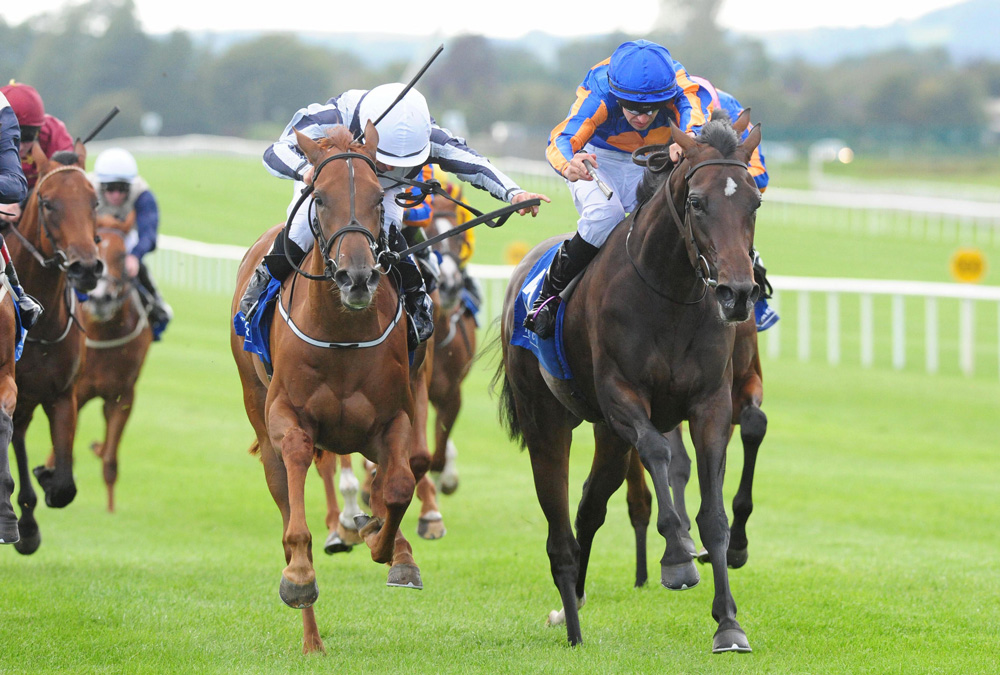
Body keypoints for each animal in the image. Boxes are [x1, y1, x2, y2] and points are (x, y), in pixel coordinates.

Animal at [231, 125, 430, 656]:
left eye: (380, 199)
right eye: (319, 198)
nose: (356, 276)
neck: (342, 332)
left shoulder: (392, 419)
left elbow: (399, 486)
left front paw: (392, 550)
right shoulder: (288, 416)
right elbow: (298, 493)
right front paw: (300, 576)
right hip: (260, 417)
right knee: (286, 501)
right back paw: (311, 637)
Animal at [496, 112, 760, 656]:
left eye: (755, 201)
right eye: (697, 202)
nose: (738, 293)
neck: (670, 293)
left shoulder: (711, 405)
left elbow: (714, 515)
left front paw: (728, 623)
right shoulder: (622, 397)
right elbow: (658, 452)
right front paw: (676, 556)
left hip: (610, 438)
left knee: (589, 506)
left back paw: (572, 602)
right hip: (547, 422)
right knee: (559, 525)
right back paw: (571, 620)